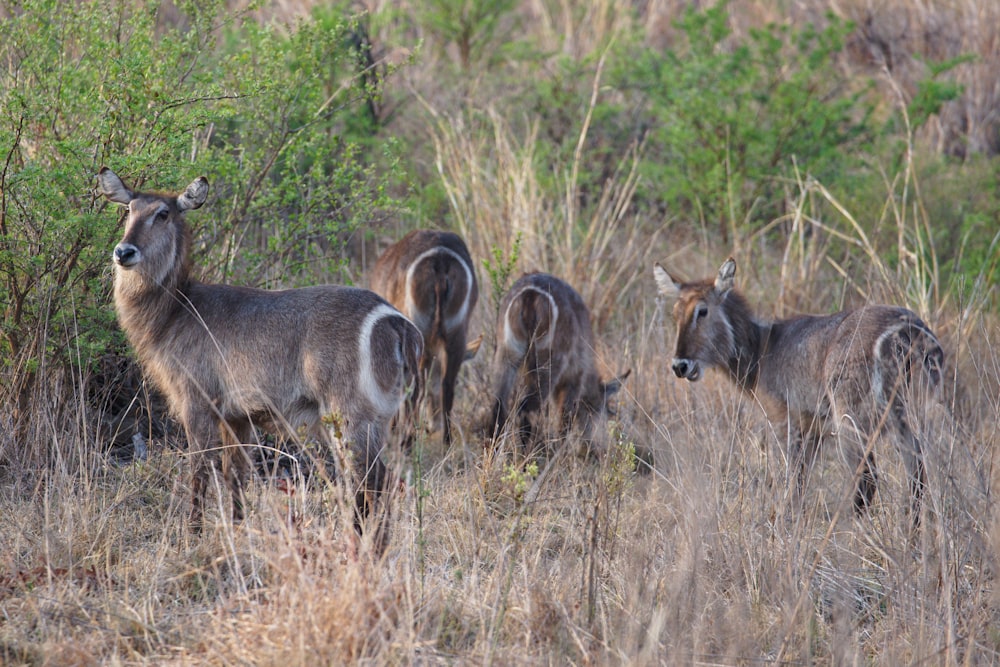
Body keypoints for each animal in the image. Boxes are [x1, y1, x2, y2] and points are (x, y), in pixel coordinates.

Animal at [102, 167, 426, 548]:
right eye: (129, 210)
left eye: (163, 213)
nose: (124, 251)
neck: (176, 311)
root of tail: (398, 324)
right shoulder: (239, 417)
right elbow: (236, 475)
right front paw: (238, 532)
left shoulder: (197, 402)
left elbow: (199, 470)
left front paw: (192, 537)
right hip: (375, 419)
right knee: (376, 483)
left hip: (350, 417)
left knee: (373, 483)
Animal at [372, 231, 480, 448]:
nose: (432, 425)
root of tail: (440, 257)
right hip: (456, 334)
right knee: (447, 385)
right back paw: (446, 441)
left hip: (417, 333)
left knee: (416, 388)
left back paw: (407, 441)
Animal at [490, 272, 628, 454]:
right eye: (606, 410)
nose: (595, 448)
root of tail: (530, 294)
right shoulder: (575, 378)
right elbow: (565, 418)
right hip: (549, 363)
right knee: (526, 407)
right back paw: (526, 455)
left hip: (507, 354)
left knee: (498, 404)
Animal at [652, 258, 940, 528]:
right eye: (676, 312)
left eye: (702, 311)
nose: (680, 365)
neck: (762, 349)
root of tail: (909, 330)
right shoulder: (814, 432)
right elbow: (800, 485)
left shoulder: (786, 421)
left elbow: (792, 484)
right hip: (909, 414)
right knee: (916, 469)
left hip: (852, 418)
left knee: (867, 479)